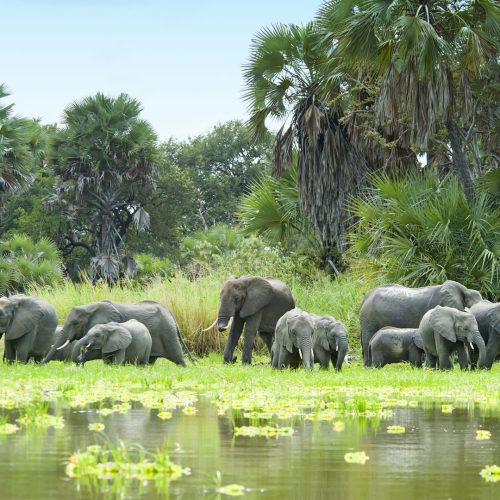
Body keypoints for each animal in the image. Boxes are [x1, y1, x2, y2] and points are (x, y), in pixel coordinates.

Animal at [42, 298, 193, 366]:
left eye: (75, 323)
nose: (41, 364)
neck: (91, 307)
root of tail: (171, 314)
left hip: (168, 332)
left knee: (178, 358)